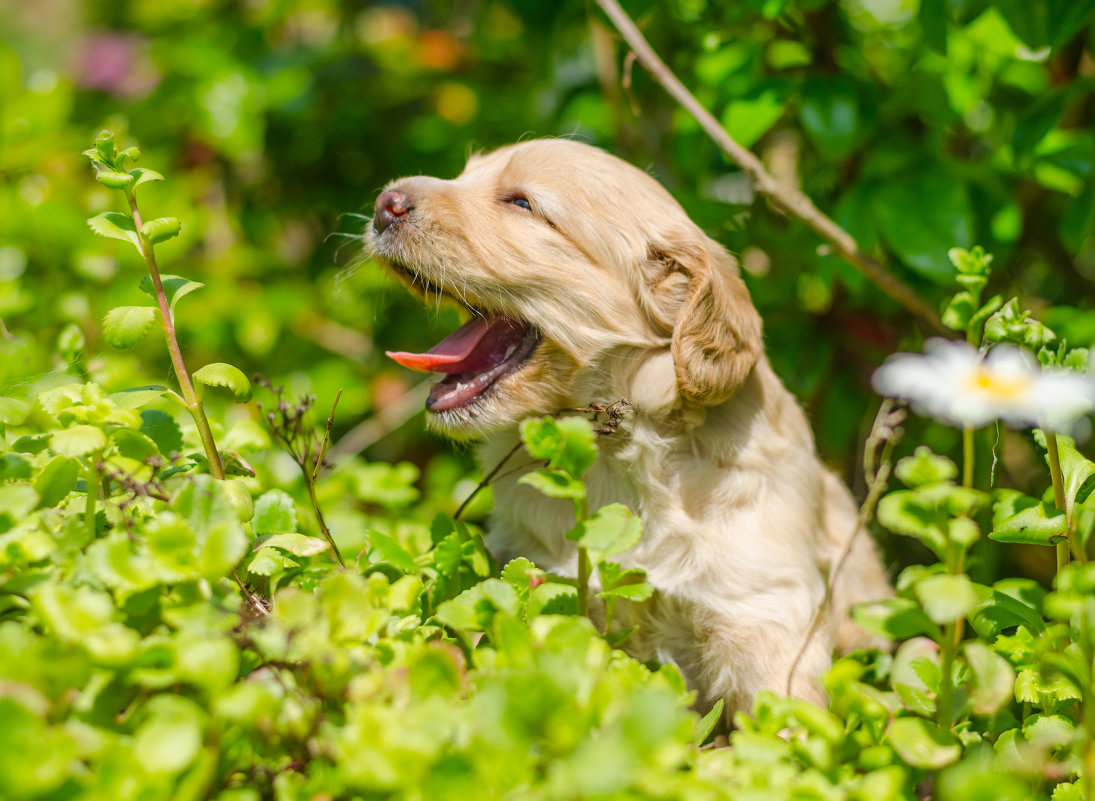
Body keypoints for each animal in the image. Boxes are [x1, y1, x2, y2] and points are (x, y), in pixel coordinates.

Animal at [367, 138, 889, 713]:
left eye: (523, 203)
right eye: (464, 175)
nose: (385, 203)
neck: (615, 453)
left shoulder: (764, 617)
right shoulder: (537, 585)